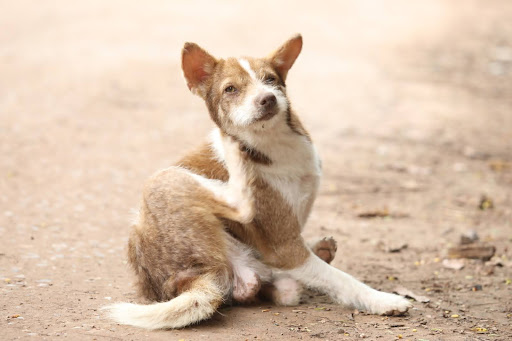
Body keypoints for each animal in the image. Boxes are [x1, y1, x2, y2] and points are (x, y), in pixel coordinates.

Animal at [104, 33, 412, 328]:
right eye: (230, 89)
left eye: (271, 79)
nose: (268, 98)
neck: (272, 144)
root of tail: (187, 282)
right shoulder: (284, 247)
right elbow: (341, 279)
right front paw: (383, 300)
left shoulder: (286, 246)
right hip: (164, 180)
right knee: (241, 205)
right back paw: (231, 151)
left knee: (278, 287)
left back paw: (319, 251)